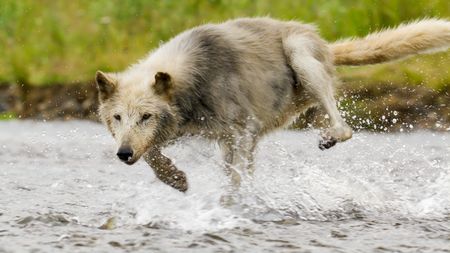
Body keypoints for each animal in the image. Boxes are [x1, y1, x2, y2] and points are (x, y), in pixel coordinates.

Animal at [95, 17, 450, 192]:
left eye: (146, 116)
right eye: (117, 118)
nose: (122, 154)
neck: (194, 81)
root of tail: (326, 45)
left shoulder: (241, 131)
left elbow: (236, 180)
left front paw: (232, 206)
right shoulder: (186, 132)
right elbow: (152, 154)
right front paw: (175, 178)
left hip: (299, 55)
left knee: (345, 127)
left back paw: (330, 136)